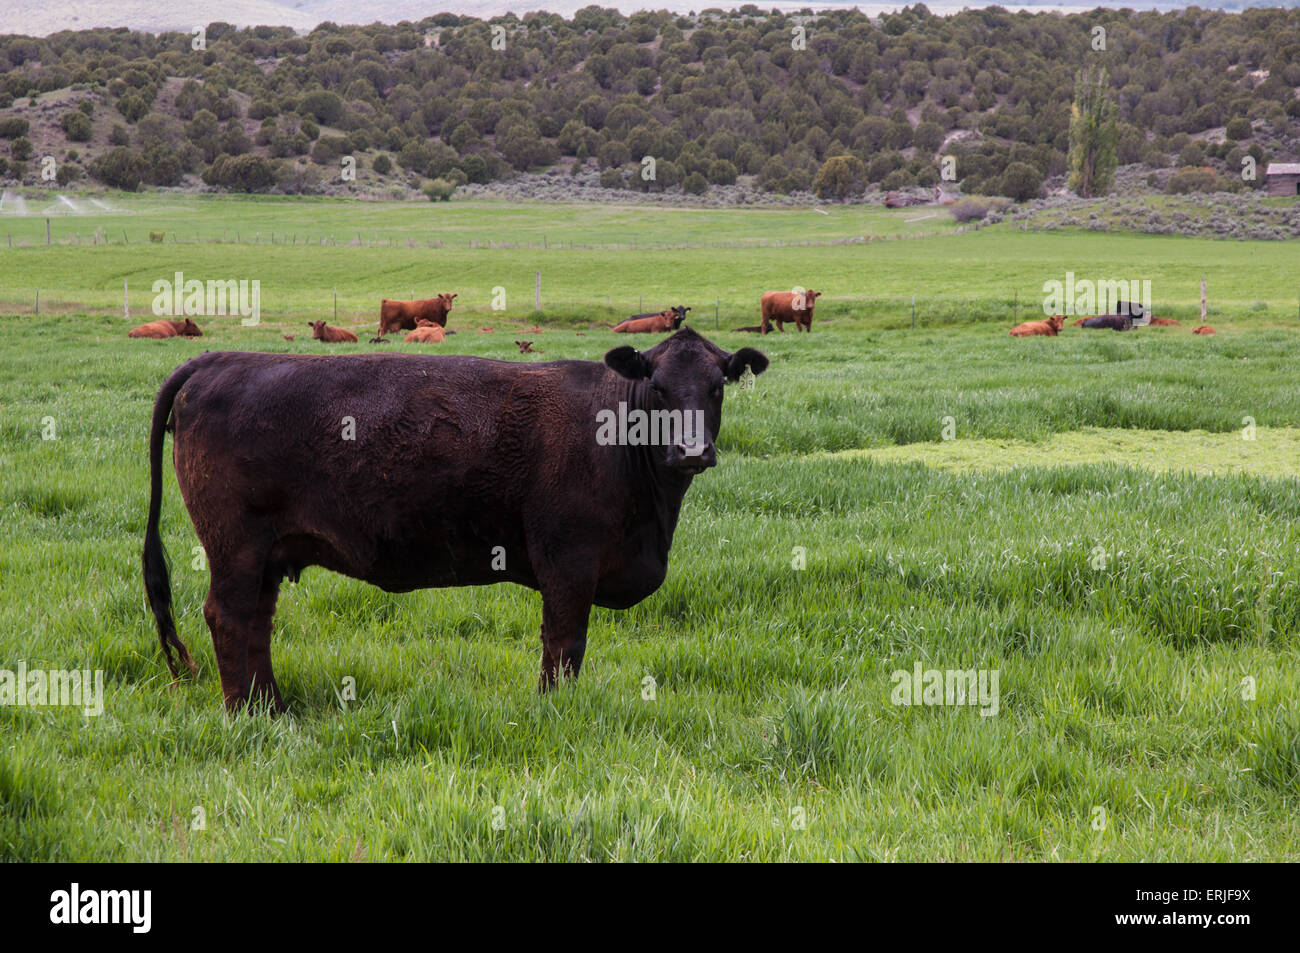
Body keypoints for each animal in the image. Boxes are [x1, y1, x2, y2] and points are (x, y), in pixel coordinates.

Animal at [141, 327, 769, 711]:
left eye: (717, 387)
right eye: (658, 388)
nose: (691, 451)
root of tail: (224, 359)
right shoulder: (567, 561)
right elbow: (564, 644)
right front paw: (555, 711)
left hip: (268, 553)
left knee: (257, 622)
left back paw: (271, 706)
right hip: (235, 546)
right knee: (229, 617)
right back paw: (248, 715)